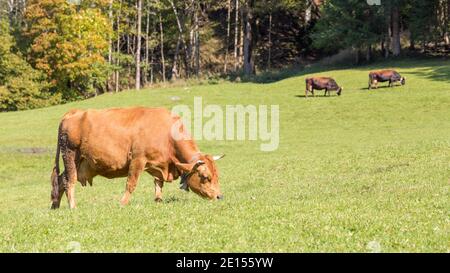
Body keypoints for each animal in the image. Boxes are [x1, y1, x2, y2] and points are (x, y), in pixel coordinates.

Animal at [51, 107, 225, 208]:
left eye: (217, 176)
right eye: (205, 177)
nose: (219, 196)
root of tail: (73, 112)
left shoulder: (159, 164)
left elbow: (158, 183)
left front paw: (158, 201)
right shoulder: (138, 160)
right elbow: (131, 184)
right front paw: (123, 203)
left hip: (80, 162)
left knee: (59, 179)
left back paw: (55, 205)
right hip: (70, 155)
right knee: (68, 180)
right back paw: (72, 206)